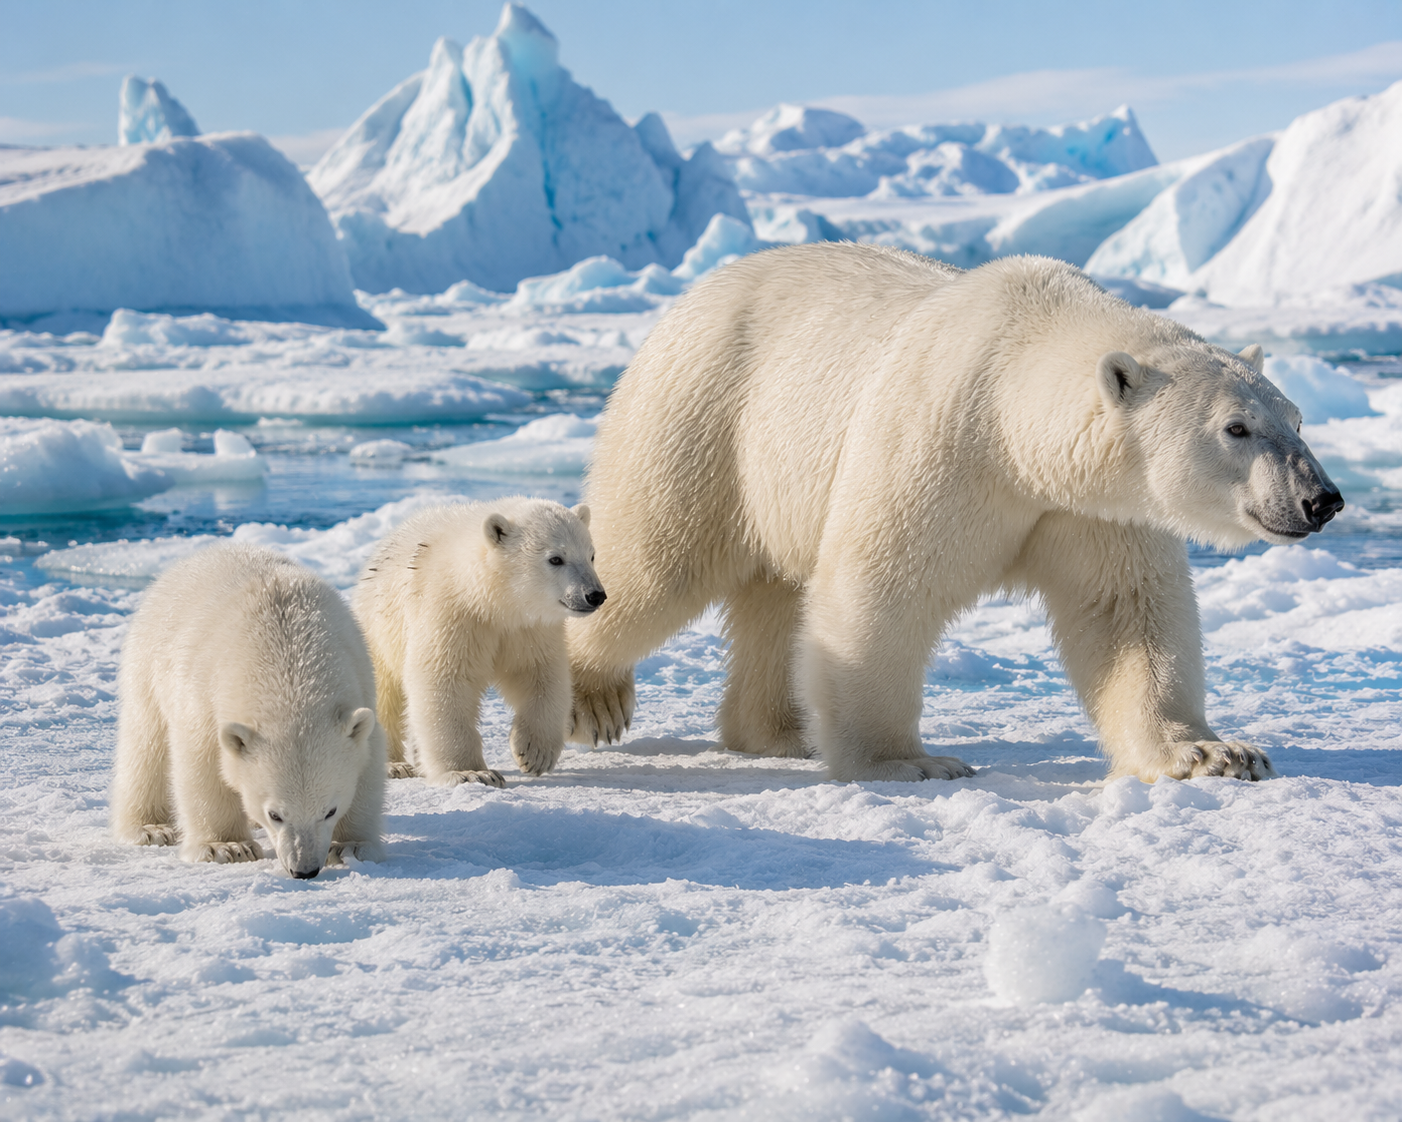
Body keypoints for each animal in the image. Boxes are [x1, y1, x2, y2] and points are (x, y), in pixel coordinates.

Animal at [111, 543, 386, 877]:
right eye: (275, 814)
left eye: (330, 810)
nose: (304, 870)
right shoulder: (204, 695)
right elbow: (202, 763)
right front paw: (227, 847)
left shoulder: (360, 680)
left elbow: (367, 761)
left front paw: (353, 845)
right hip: (149, 659)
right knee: (146, 743)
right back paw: (150, 828)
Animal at [353, 497, 605, 786]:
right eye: (555, 558)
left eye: (591, 555)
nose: (595, 595)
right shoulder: (451, 614)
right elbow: (444, 681)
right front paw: (472, 772)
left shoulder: (527, 629)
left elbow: (540, 675)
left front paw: (534, 753)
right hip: (378, 629)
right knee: (383, 693)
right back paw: (393, 765)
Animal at [564, 243, 1343, 784]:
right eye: (1236, 428)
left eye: (1297, 418)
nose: (1322, 500)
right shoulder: (941, 444)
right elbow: (882, 590)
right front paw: (907, 762)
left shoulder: (1094, 508)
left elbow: (1128, 612)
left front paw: (1217, 752)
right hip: (704, 418)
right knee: (653, 560)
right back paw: (591, 701)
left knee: (773, 596)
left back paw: (780, 732)